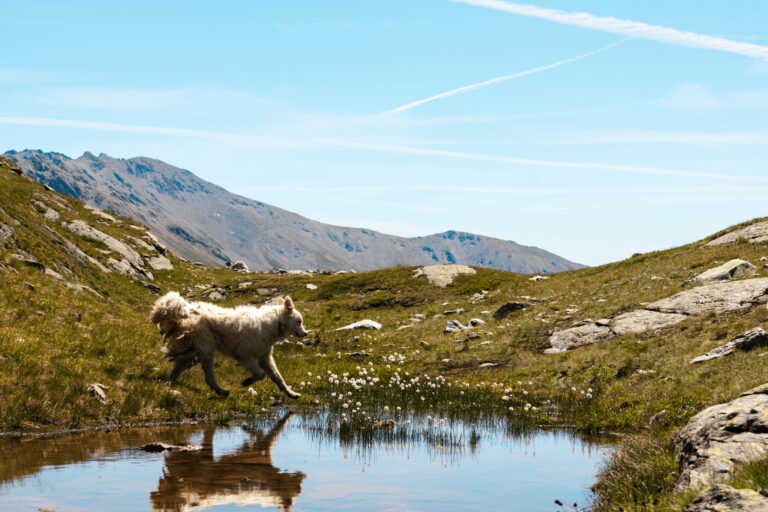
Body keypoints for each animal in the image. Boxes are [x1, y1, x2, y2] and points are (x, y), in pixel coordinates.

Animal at [148, 292, 308, 396]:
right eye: (299, 321)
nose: (305, 333)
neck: (274, 323)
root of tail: (189, 310)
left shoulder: (265, 356)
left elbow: (277, 377)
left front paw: (291, 393)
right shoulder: (245, 353)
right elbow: (259, 374)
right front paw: (247, 382)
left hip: (193, 346)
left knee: (181, 364)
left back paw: (171, 381)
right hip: (206, 345)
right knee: (208, 375)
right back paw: (221, 390)